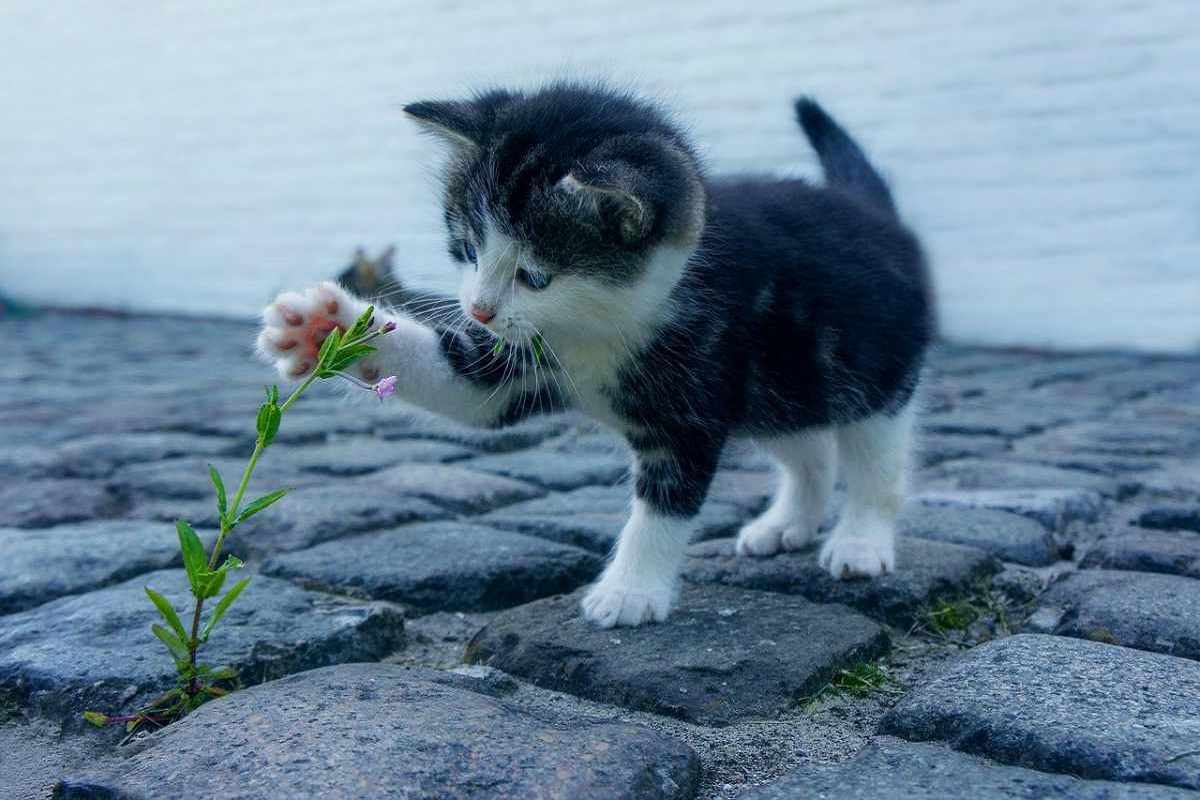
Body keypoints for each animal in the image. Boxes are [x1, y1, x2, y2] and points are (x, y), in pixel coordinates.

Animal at [258, 82, 931, 633]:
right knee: (808, 449)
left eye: (534, 275)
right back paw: (787, 524)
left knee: (875, 460)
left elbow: (665, 503)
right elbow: (466, 387)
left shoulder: (694, 398)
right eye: (468, 249)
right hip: (780, 385)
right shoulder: (518, 361)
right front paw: (325, 328)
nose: (478, 310)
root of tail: (874, 213)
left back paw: (860, 541)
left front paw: (630, 592)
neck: (600, 326)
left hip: (873, 371)